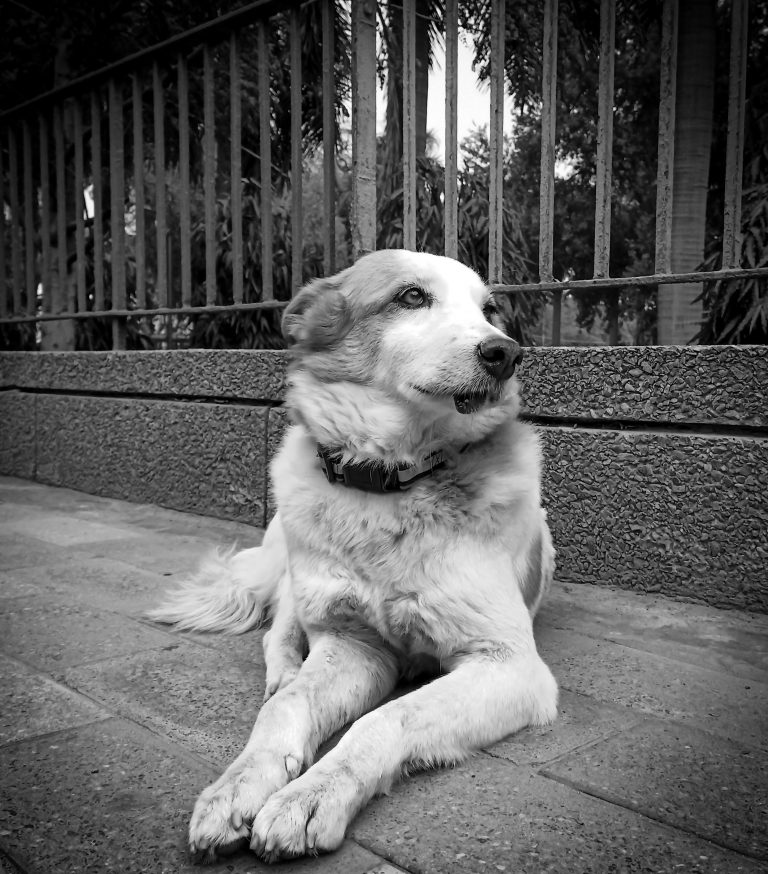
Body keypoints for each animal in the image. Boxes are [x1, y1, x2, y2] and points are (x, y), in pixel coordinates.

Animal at [148, 249, 560, 860]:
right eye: (411, 296)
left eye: (490, 310)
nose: (505, 353)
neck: (389, 480)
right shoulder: (352, 644)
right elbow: (289, 707)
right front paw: (240, 783)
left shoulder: (510, 665)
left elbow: (389, 717)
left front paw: (310, 796)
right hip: (295, 561)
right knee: (280, 638)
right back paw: (284, 673)